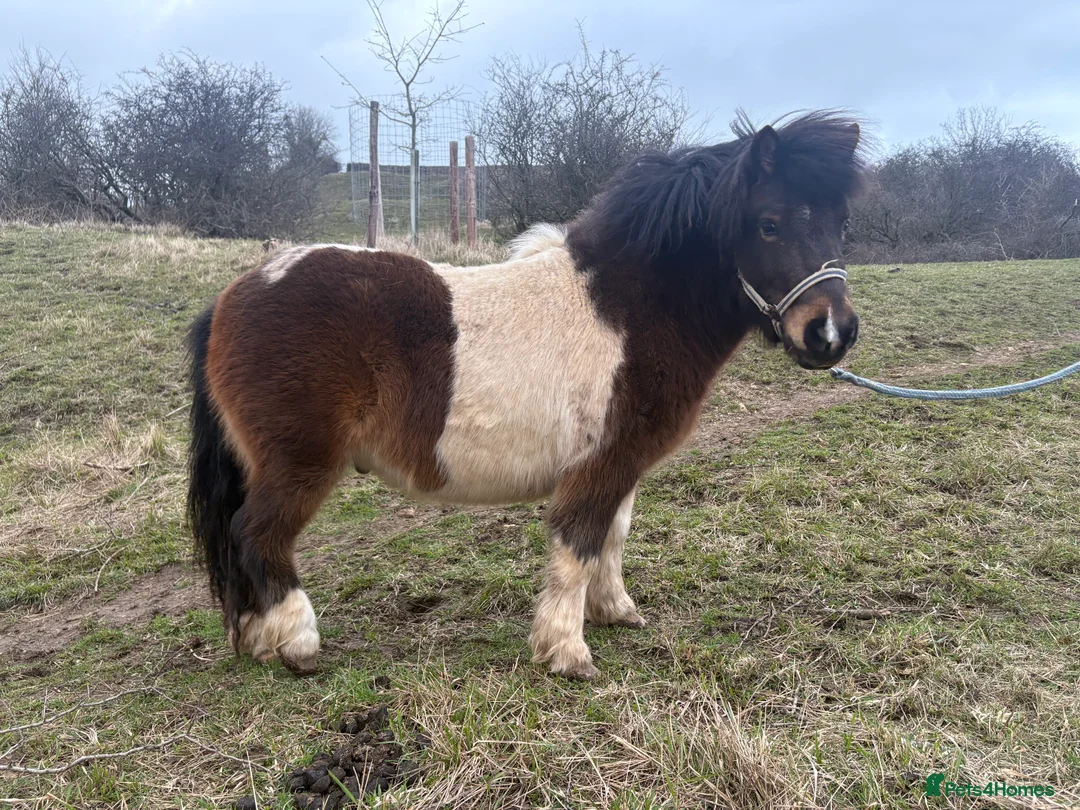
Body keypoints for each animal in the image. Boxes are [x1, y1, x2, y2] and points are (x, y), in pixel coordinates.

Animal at [186, 111, 867, 680]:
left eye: (841, 224)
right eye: (769, 224)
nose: (831, 333)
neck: (628, 309)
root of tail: (232, 298)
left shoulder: (620, 464)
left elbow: (611, 537)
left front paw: (614, 610)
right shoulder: (599, 466)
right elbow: (578, 544)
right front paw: (567, 650)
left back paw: (257, 639)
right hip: (297, 464)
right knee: (257, 535)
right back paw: (297, 642)